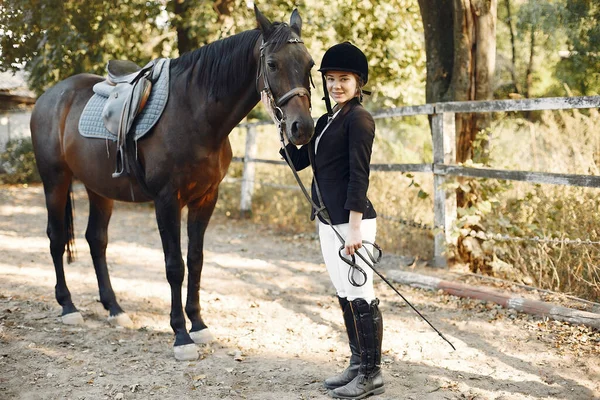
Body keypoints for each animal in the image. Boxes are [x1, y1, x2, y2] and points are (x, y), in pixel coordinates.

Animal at [29, 7, 314, 360]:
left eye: (310, 64)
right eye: (272, 63)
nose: (302, 128)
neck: (195, 113)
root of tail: (49, 97)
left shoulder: (205, 199)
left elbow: (196, 260)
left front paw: (199, 325)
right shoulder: (167, 200)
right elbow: (175, 265)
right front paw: (181, 335)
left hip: (99, 190)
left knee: (96, 240)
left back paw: (115, 309)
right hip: (54, 180)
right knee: (56, 238)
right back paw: (68, 306)